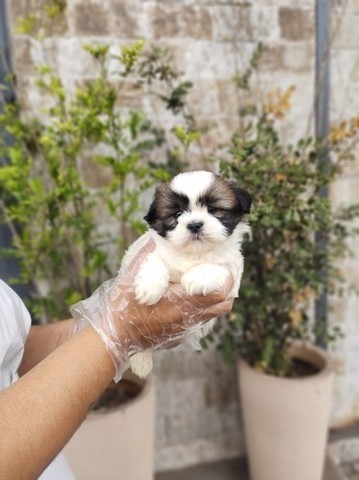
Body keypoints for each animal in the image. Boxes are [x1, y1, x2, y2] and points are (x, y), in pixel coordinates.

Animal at [126, 171, 253, 376]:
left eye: (212, 209)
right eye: (177, 214)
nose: (194, 225)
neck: (194, 253)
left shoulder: (232, 267)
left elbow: (216, 267)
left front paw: (195, 278)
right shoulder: (153, 250)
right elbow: (155, 261)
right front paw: (149, 286)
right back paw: (140, 361)